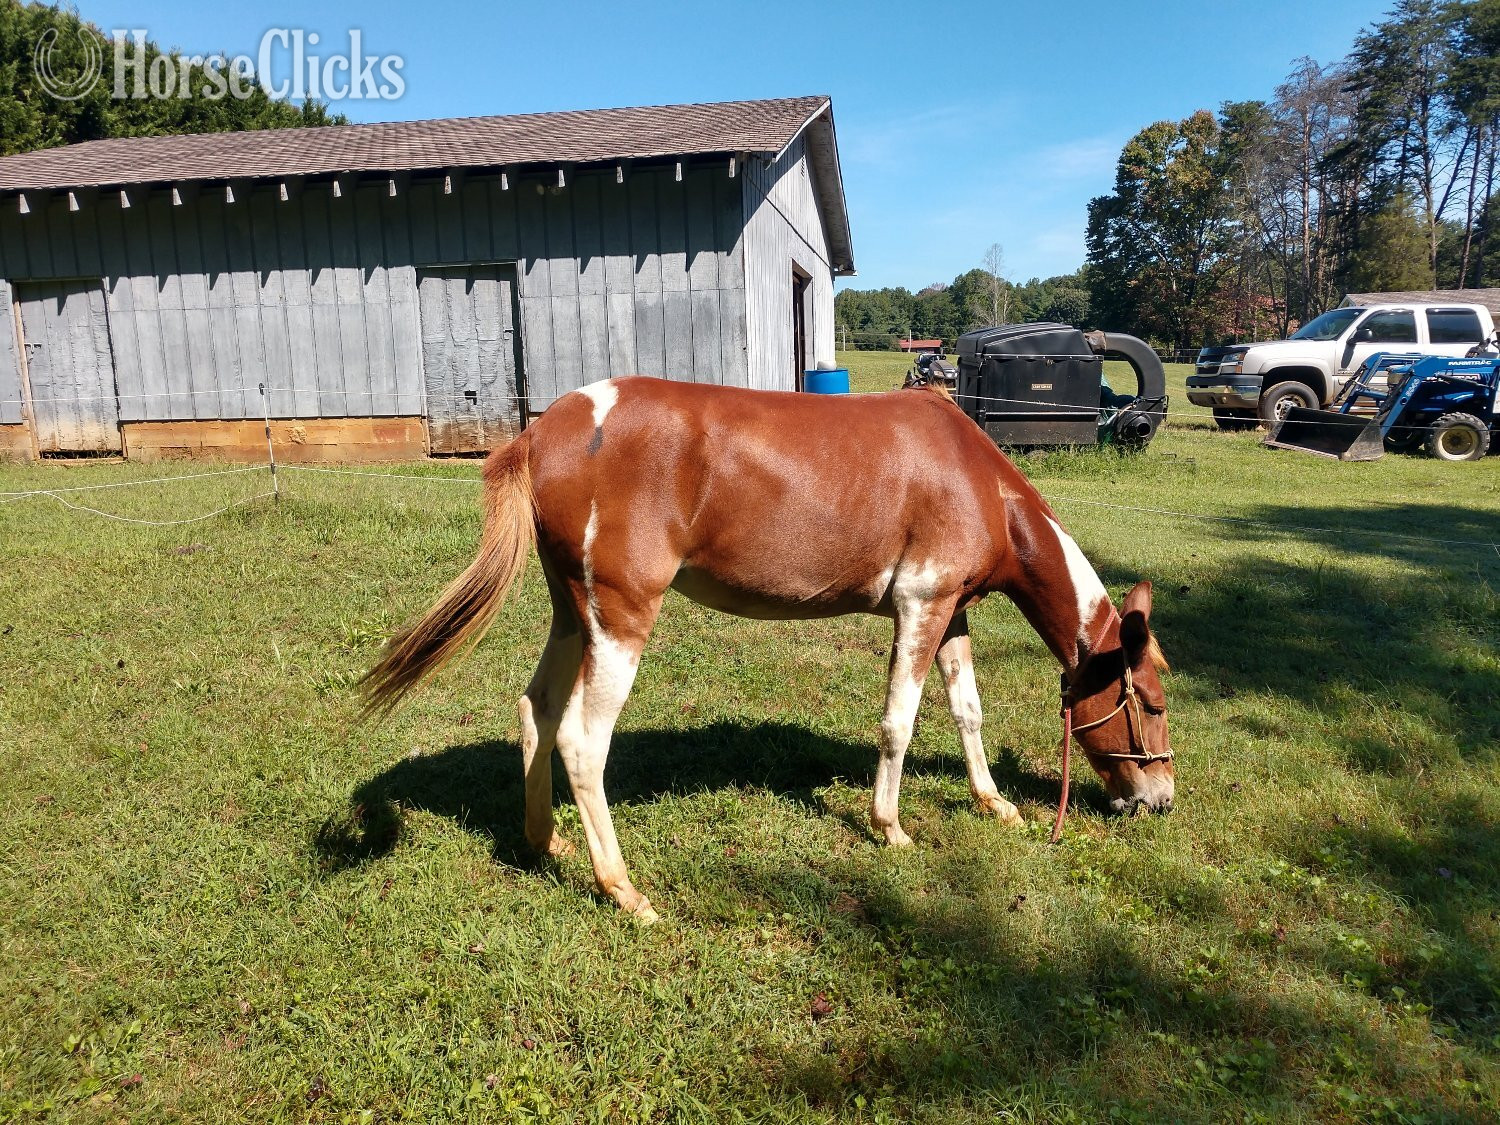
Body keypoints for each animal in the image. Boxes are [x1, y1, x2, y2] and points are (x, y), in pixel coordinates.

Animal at [363, 376, 1174, 923]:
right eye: (1152, 701)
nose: (1159, 799)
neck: (977, 480)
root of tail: (540, 432)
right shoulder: (921, 604)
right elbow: (899, 724)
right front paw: (890, 827)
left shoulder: (952, 614)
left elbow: (967, 711)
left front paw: (994, 802)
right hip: (619, 617)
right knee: (581, 742)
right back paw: (623, 889)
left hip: (572, 614)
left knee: (535, 711)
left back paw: (545, 843)